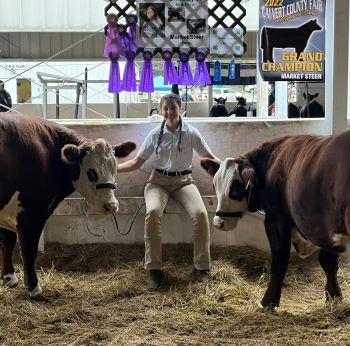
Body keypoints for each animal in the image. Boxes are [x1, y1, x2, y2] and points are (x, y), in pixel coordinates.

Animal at [0, 113, 135, 298]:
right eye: (91, 172)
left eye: (115, 169)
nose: (111, 206)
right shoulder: (31, 212)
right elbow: (28, 249)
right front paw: (34, 288)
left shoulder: (10, 209)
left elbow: (7, 242)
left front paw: (9, 277)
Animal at [201, 133, 350, 310]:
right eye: (214, 186)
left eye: (235, 189)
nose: (218, 223)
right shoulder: (325, 231)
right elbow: (329, 262)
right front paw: (334, 296)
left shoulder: (276, 220)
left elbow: (279, 261)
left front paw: (268, 301)